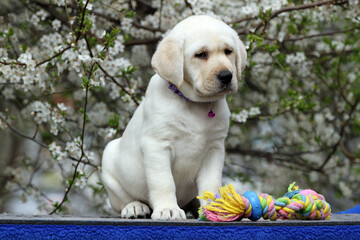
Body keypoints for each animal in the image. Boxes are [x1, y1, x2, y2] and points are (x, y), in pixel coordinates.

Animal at [102, 15, 246, 220]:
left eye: (228, 51)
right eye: (201, 54)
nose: (227, 75)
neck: (195, 104)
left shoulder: (214, 149)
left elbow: (210, 183)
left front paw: (214, 208)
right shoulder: (157, 146)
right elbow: (164, 182)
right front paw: (167, 209)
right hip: (110, 163)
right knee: (123, 199)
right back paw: (134, 207)